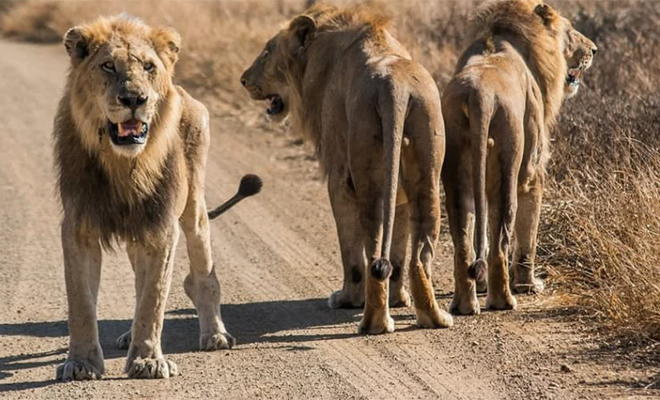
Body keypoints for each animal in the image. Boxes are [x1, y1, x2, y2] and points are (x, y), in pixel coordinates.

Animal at [52, 14, 260, 380]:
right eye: (108, 66)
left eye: (149, 67)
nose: (135, 99)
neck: (122, 164)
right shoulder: (79, 227)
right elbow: (81, 302)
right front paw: (81, 362)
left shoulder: (162, 227)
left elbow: (154, 297)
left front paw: (148, 361)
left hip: (193, 209)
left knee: (203, 275)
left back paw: (215, 334)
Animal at [242, 3, 454, 334]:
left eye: (267, 52)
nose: (243, 79)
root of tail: (395, 87)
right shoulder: (400, 195)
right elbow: (398, 249)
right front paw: (399, 300)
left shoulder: (338, 179)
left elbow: (350, 252)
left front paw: (347, 299)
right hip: (427, 177)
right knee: (419, 253)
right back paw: (433, 317)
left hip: (368, 178)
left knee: (373, 247)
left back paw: (374, 321)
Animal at [438, 0, 600, 316]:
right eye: (571, 32)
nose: (594, 50)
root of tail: (479, 95)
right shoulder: (533, 170)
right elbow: (528, 234)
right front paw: (527, 284)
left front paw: (483, 284)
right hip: (508, 163)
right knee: (502, 236)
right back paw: (504, 300)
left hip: (456, 171)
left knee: (463, 240)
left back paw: (464, 304)